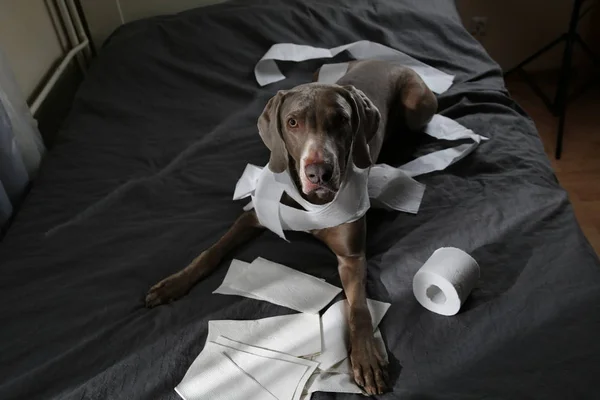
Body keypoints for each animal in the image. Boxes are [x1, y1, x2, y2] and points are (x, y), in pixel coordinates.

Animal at [145, 59, 436, 394]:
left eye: (341, 120)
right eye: (293, 122)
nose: (319, 173)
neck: (311, 203)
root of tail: (385, 57)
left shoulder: (351, 256)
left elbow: (359, 308)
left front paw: (366, 358)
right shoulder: (254, 217)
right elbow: (211, 252)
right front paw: (173, 284)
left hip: (416, 106)